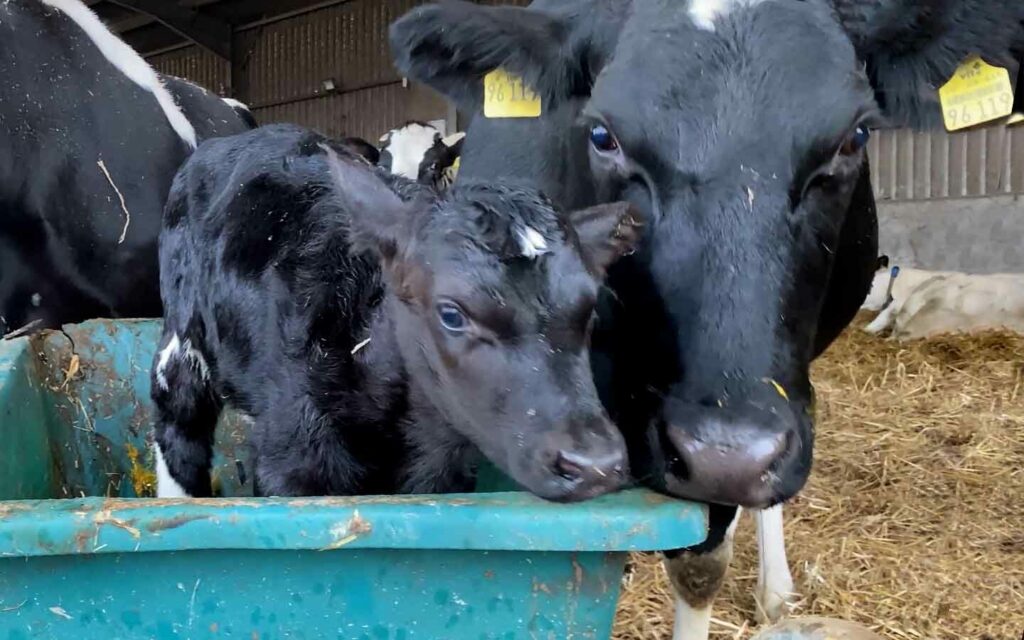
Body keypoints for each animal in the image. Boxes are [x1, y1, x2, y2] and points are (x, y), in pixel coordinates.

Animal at [151, 124, 638, 501]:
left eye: (590, 310)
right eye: (452, 314)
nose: (594, 464)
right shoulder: (289, 460)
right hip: (180, 343)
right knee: (179, 421)